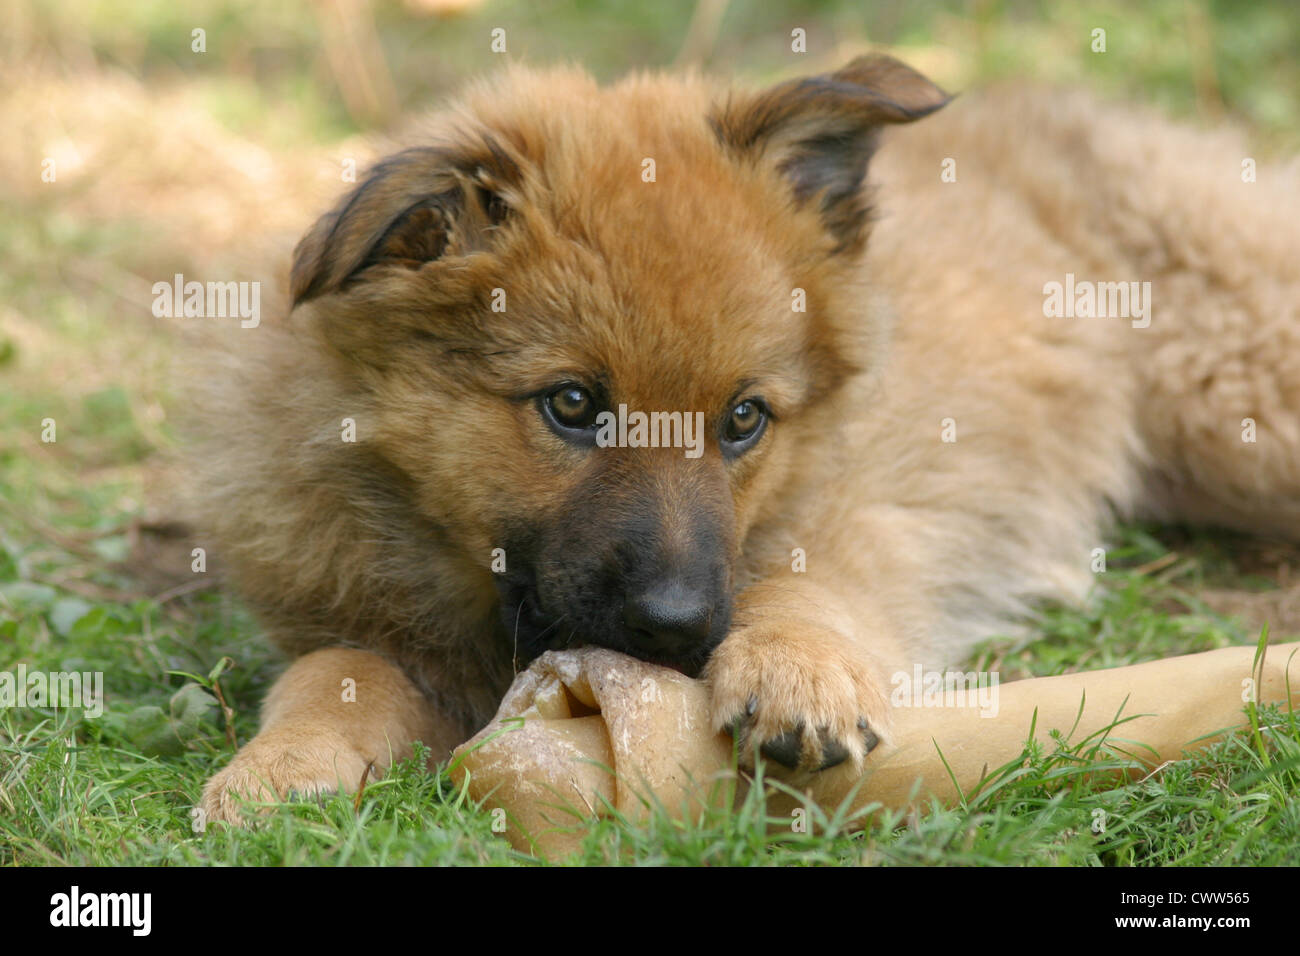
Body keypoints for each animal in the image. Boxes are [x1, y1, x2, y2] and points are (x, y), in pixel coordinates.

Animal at [192, 54, 1300, 822]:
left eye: (743, 419)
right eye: (571, 404)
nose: (680, 628)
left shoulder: (857, 512)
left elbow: (799, 582)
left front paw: (791, 668)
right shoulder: (359, 621)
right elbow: (335, 674)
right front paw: (281, 766)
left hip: (1244, 405)